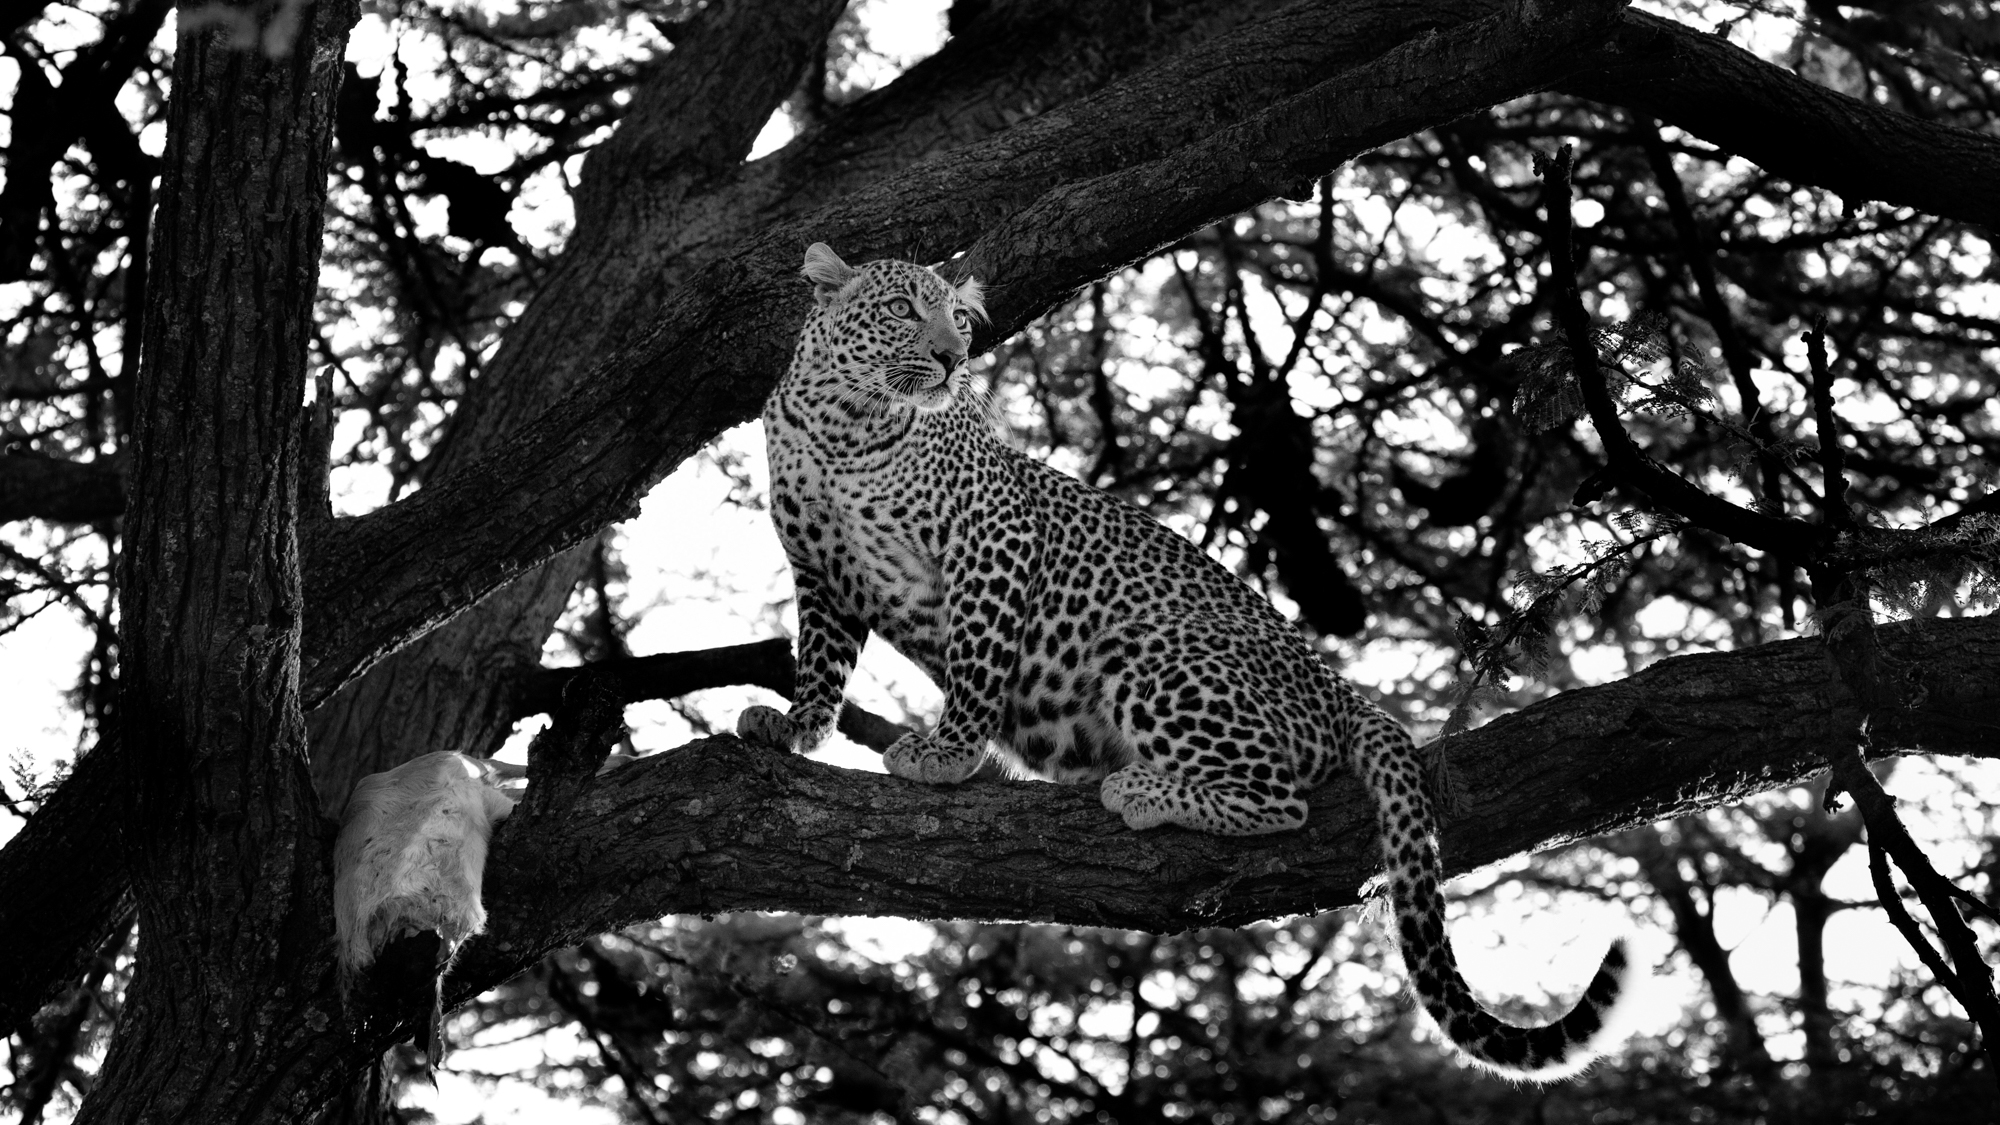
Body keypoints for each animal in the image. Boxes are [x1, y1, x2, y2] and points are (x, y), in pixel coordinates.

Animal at [736, 241, 1640, 1072]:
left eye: (959, 318)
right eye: (902, 309)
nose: (955, 359)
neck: (842, 423)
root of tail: (1342, 689)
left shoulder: (994, 542)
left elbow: (978, 661)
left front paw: (949, 752)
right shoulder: (819, 573)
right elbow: (820, 662)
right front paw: (793, 726)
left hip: (1152, 651)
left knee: (1282, 799)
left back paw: (1143, 788)